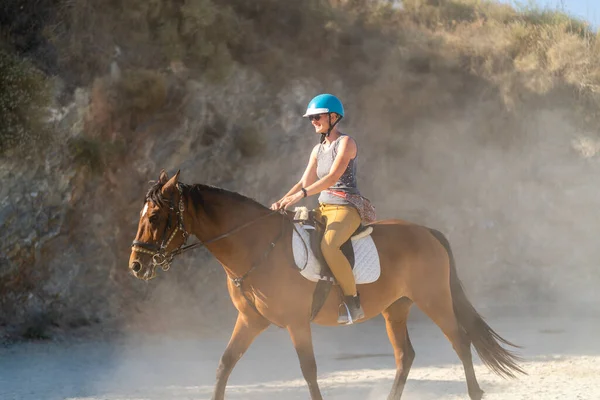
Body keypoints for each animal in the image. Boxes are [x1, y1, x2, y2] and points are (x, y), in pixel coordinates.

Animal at [129, 170, 524, 400]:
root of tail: (426, 231)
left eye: (155, 216)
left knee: (460, 342)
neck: (256, 246)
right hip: (396, 308)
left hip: (434, 299)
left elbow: (309, 371)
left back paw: (475, 391)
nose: (136, 265)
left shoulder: (296, 323)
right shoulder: (250, 320)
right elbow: (225, 365)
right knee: (405, 356)